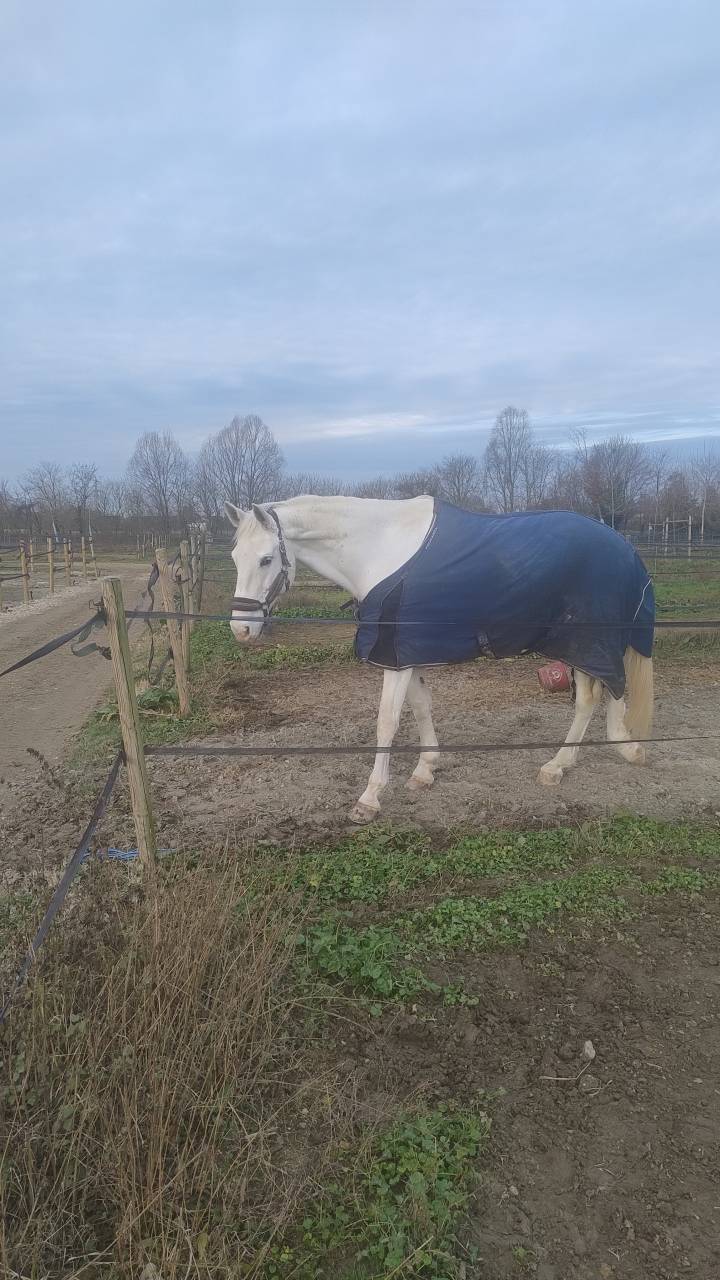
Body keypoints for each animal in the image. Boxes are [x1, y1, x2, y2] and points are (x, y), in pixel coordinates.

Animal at [225, 495, 655, 824]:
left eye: (266, 559)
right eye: (234, 556)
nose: (241, 630)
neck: (379, 550)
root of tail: (625, 547)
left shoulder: (394, 658)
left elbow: (387, 722)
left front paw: (369, 799)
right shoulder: (406, 652)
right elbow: (420, 708)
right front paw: (425, 770)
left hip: (590, 642)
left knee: (600, 694)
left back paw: (577, 760)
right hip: (582, 646)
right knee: (595, 697)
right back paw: (577, 760)